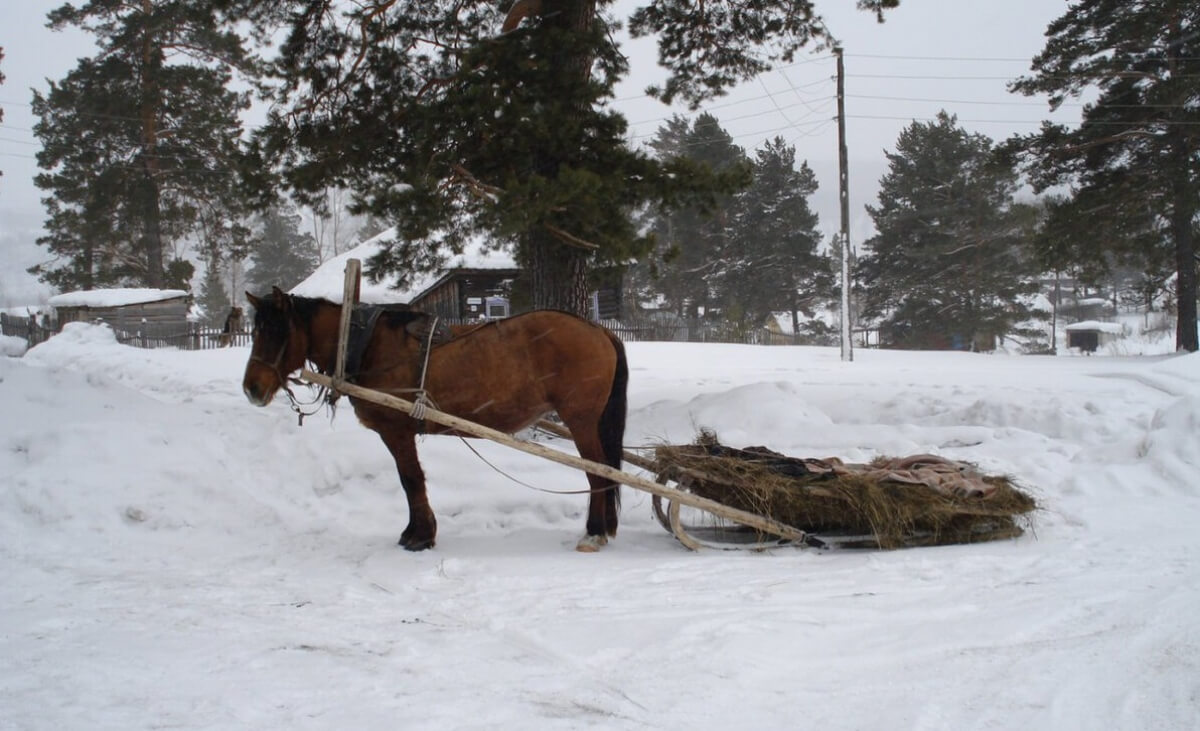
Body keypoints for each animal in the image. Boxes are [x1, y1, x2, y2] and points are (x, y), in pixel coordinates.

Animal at [241, 288, 628, 549]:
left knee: (597, 471)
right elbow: (410, 480)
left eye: (276, 331)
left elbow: (411, 479)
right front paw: (416, 531)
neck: (365, 345)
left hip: (581, 419)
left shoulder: (396, 430)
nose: (251, 388)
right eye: (256, 330)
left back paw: (594, 531)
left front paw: (420, 536)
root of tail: (599, 330)